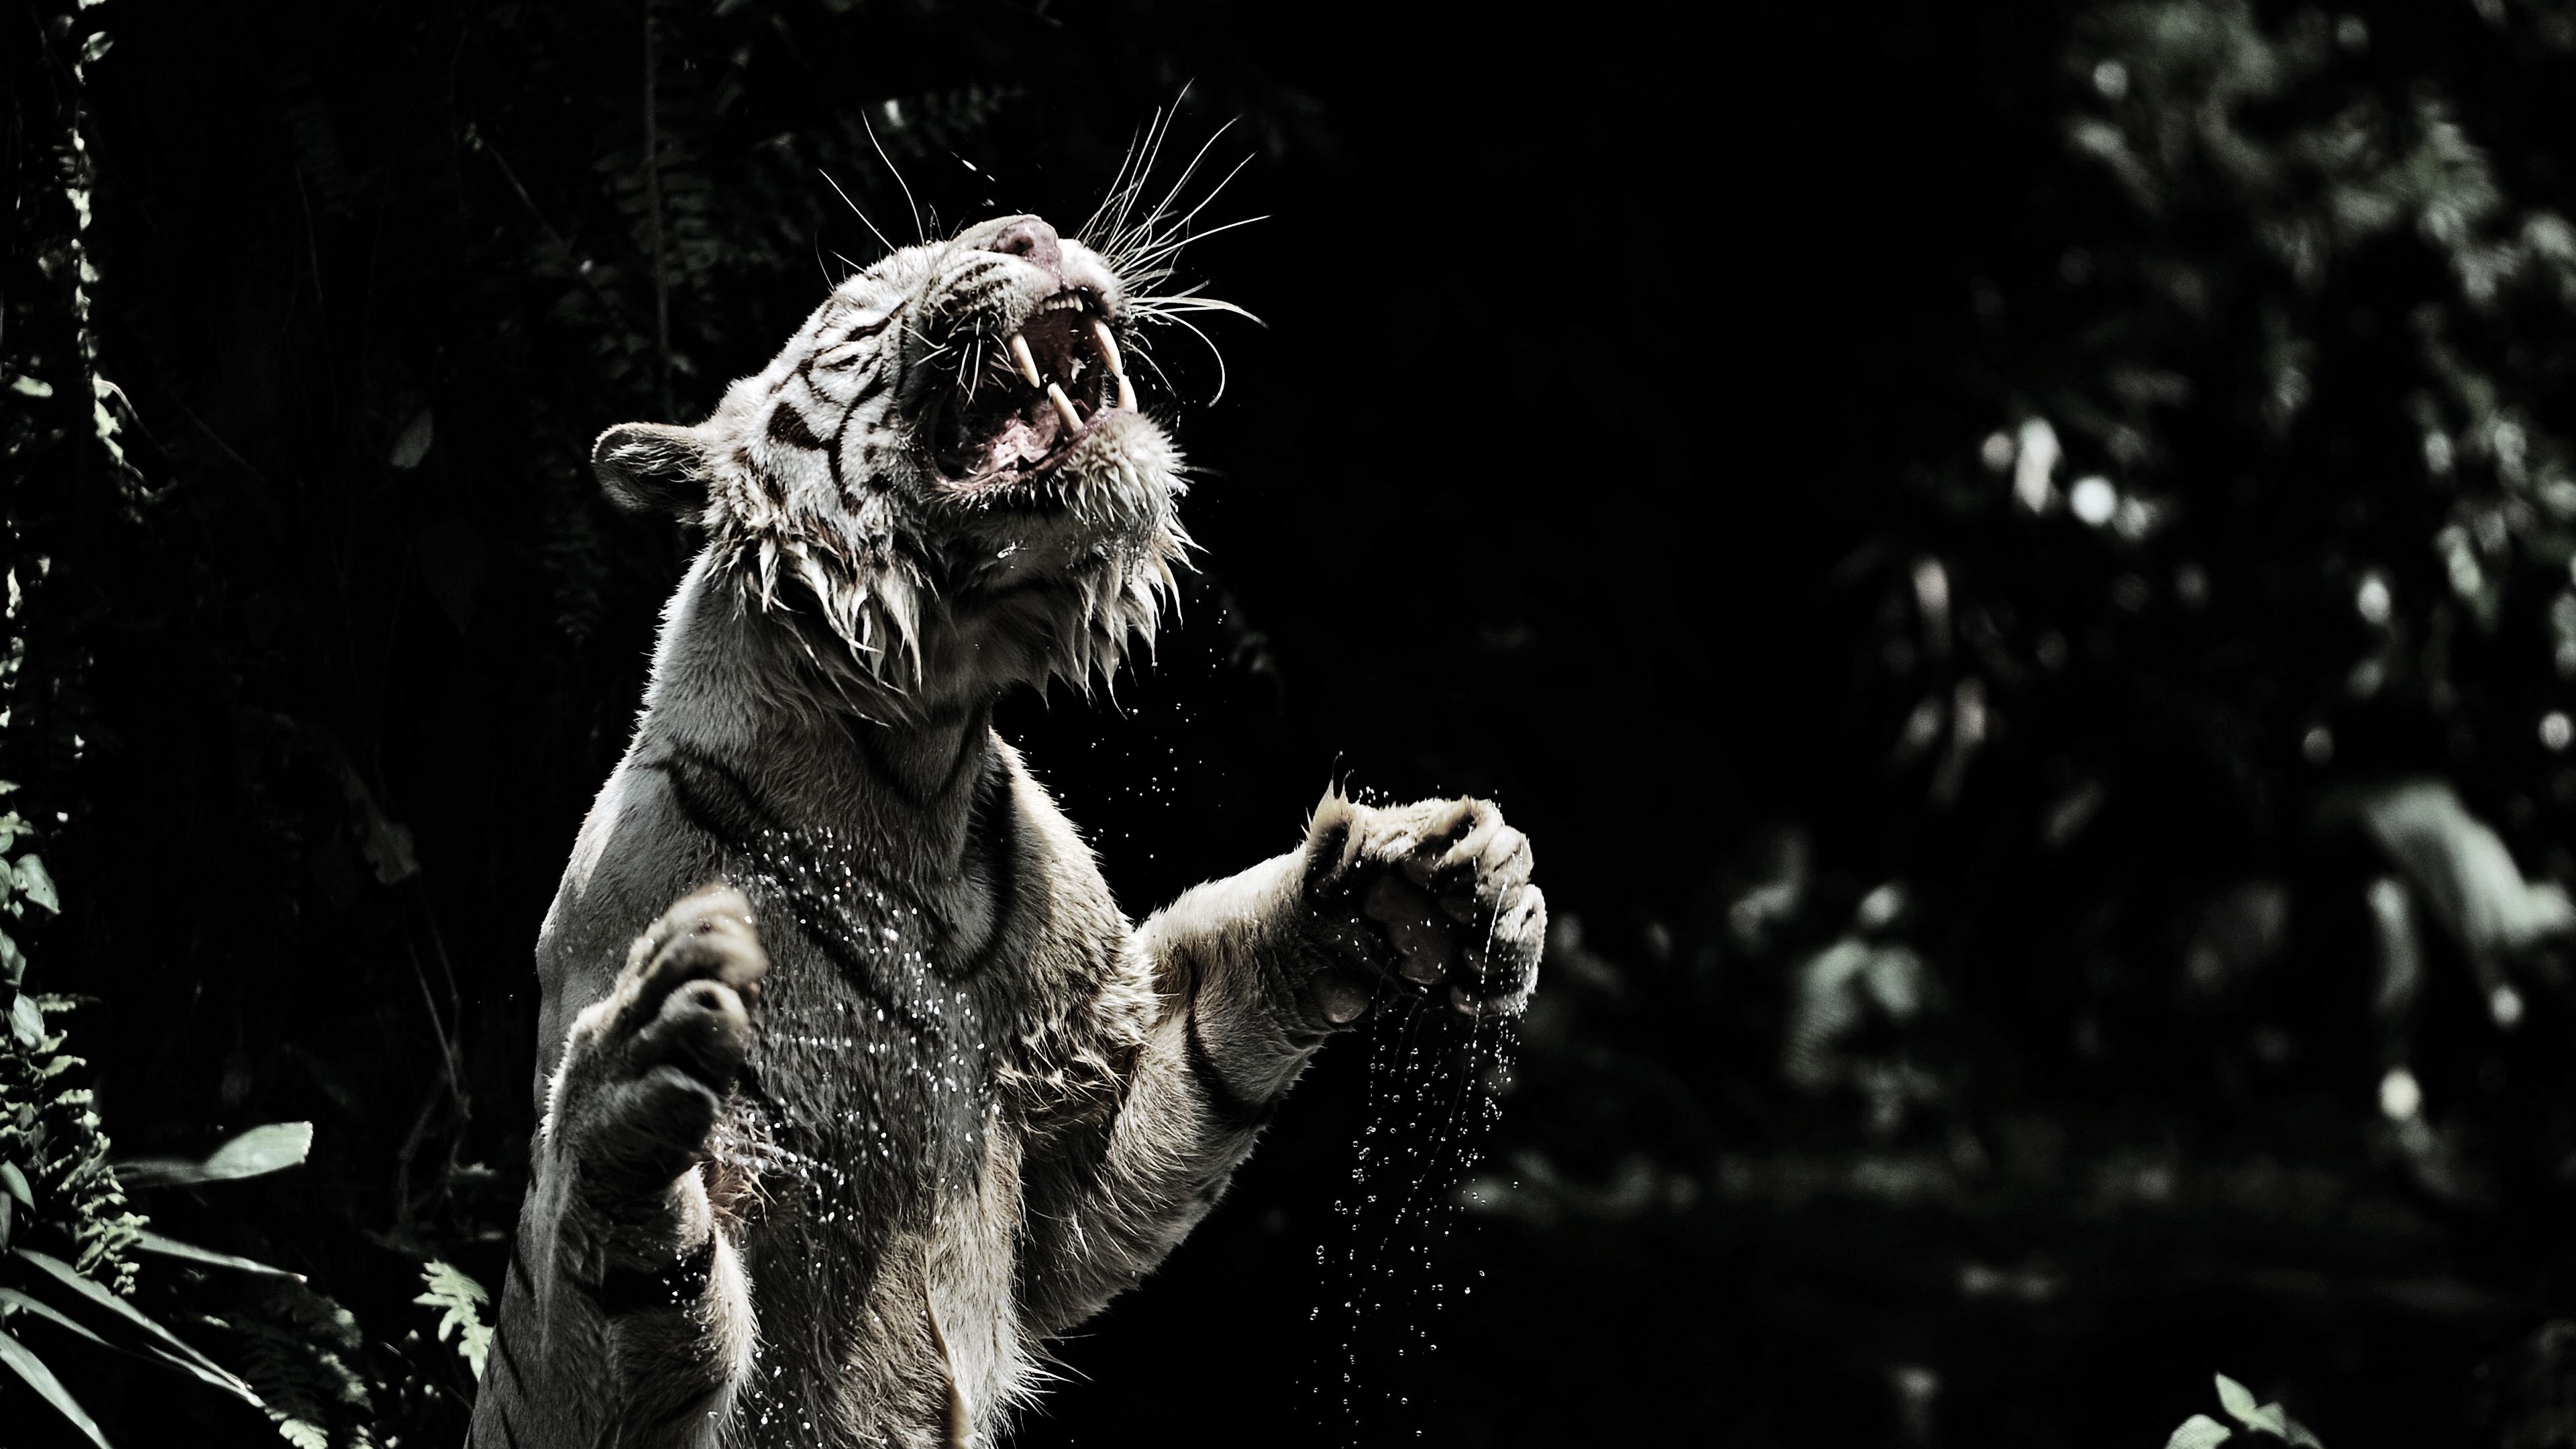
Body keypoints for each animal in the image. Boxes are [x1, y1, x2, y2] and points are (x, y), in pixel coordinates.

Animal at [467, 209, 1546, 1449]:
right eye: (868, 291)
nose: (1028, 230)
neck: (912, 775)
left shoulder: (1073, 1117)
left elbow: (1211, 1040)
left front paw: (1423, 882)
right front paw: (637, 1075)